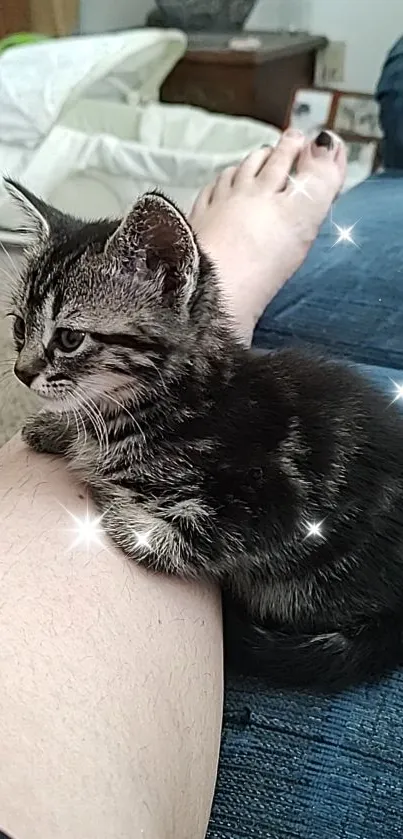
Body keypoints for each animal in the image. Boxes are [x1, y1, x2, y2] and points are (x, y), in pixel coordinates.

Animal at [6, 180, 403, 692]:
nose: (21, 372)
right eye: (19, 327)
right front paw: (59, 428)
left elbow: (204, 533)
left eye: (70, 339)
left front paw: (125, 518)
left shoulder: (274, 499)